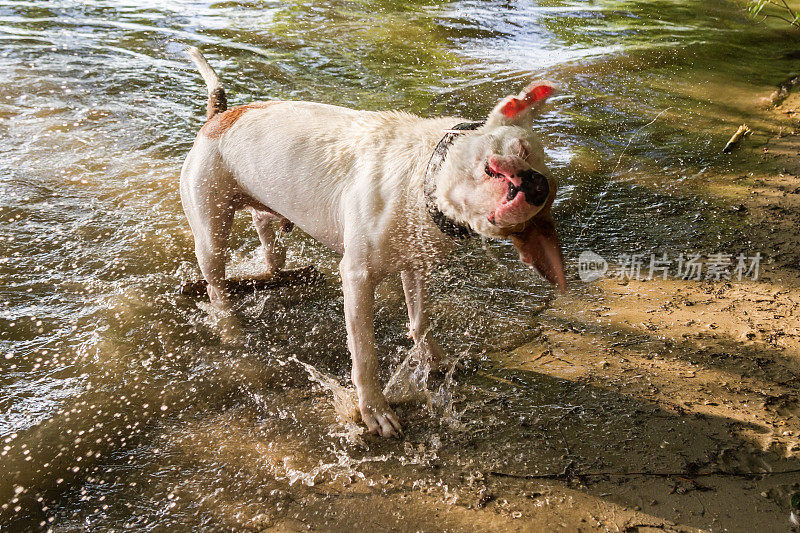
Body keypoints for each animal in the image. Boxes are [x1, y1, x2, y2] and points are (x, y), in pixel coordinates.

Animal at [184, 47, 564, 436]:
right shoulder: (357, 277)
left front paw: (436, 360)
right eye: (522, 148)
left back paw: (273, 272)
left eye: (531, 220)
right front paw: (375, 411)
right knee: (217, 287)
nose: (537, 185)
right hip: (210, 234)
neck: (422, 182)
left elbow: (420, 320)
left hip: (266, 208)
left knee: (267, 239)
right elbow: (365, 353)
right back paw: (231, 329)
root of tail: (220, 115)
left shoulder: (415, 265)